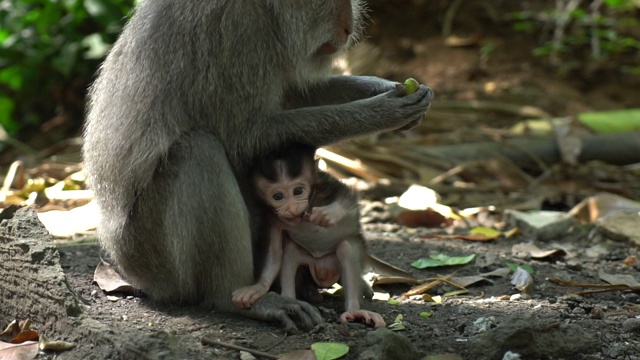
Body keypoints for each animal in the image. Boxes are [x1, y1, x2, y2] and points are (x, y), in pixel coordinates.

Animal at [235, 143, 410, 326]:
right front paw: (258, 287)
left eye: (298, 191)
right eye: (278, 196)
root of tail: (324, 272)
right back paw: (291, 302)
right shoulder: (272, 217)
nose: (291, 208)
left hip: (336, 262)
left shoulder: (327, 185)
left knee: (347, 248)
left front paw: (328, 214)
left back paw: (353, 310)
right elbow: (274, 253)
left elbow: (350, 201)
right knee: (289, 252)